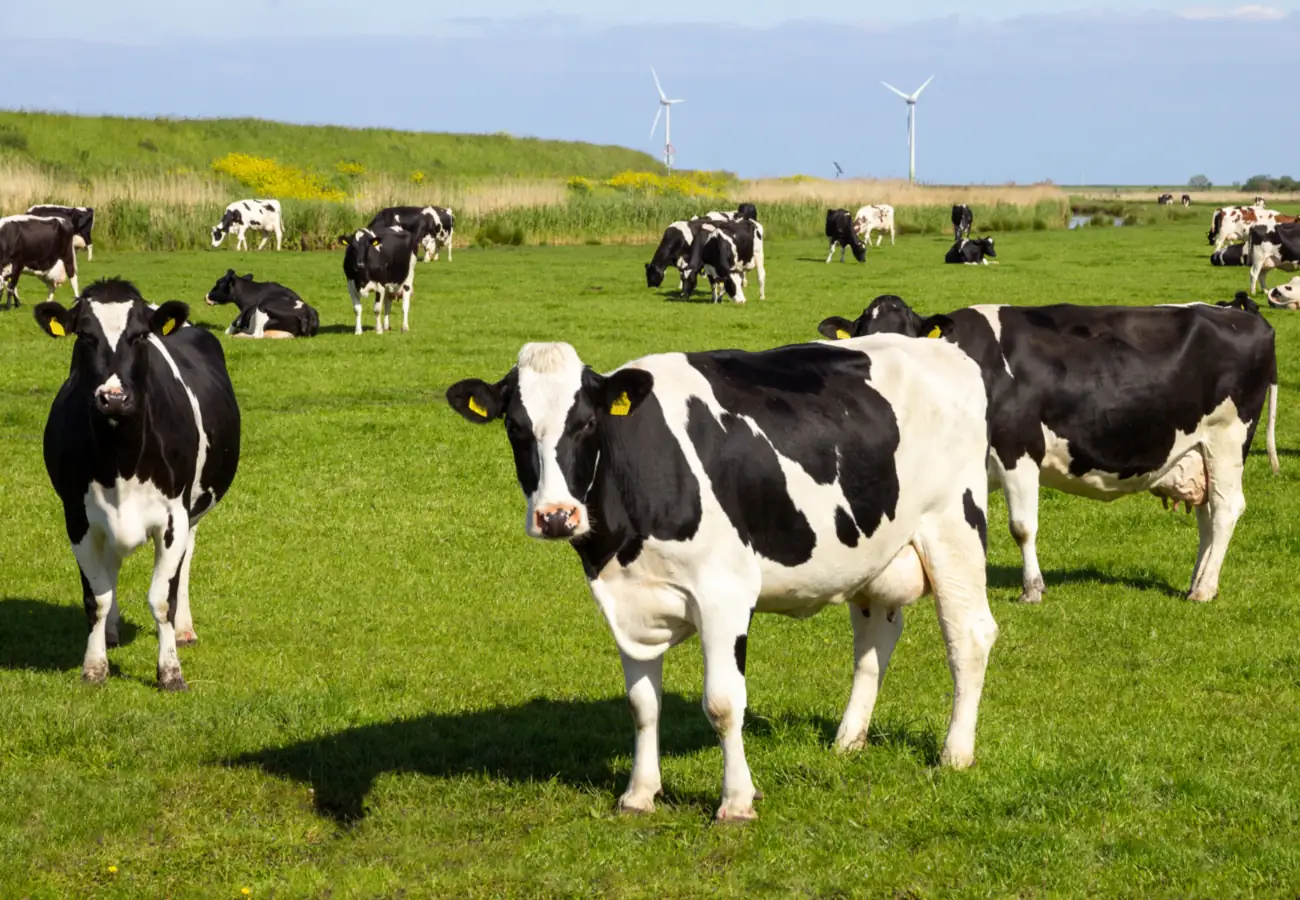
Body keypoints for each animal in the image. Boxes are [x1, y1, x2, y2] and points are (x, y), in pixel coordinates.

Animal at [32, 278, 240, 689]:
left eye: (140, 335)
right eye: (85, 335)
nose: (113, 398)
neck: (120, 461)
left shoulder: (174, 518)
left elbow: (162, 599)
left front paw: (171, 672)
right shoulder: (77, 518)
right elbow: (96, 597)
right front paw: (95, 666)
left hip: (192, 511)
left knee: (185, 563)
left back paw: (184, 629)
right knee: (111, 568)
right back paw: (112, 633)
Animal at [444, 336, 997, 820]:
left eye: (585, 424)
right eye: (516, 428)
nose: (557, 516)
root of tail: (942, 348)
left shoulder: (723, 594)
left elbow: (724, 703)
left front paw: (736, 801)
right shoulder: (626, 601)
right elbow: (642, 704)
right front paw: (639, 794)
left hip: (954, 526)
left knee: (969, 635)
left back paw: (955, 753)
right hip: (872, 554)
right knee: (875, 639)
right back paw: (848, 740)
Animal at [818, 294, 1279, 605]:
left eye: (908, 339)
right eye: (861, 338)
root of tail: (1241, 313)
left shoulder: (1019, 448)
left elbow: (1022, 527)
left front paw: (1032, 589)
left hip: (1228, 437)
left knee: (1226, 508)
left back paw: (1204, 589)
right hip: (1198, 449)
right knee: (1207, 514)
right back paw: (1198, 580)